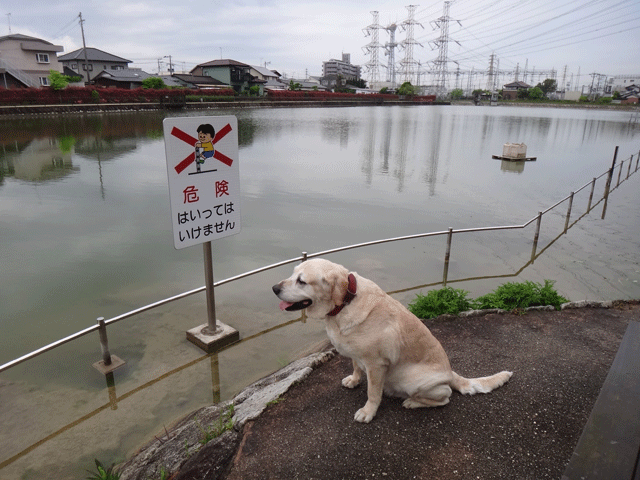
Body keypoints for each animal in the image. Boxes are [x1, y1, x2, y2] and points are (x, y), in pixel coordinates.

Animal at [272, 258, 512, 424]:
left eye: (302, 281)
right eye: (292, 273)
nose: (274, 288)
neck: (345, 304)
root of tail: (451, 373)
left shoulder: (376, 364)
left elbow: (372, 392)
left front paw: (368, 412)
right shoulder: (358, 355)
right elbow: (355, 366)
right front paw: (353, 380)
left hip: (413, 380)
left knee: (445, 396)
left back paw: (412, 402)